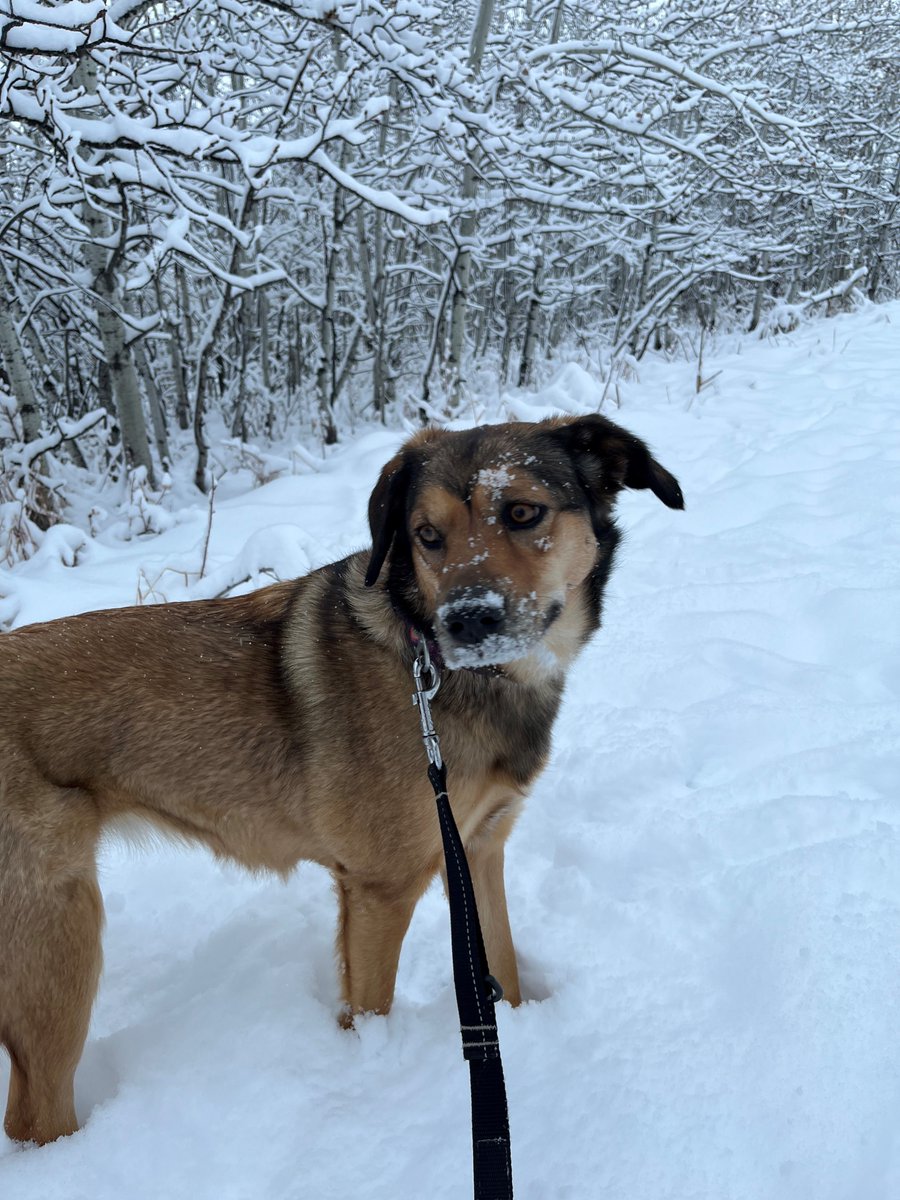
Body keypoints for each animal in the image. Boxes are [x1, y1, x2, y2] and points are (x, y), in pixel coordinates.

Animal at [0, 412, 681, 1142]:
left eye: (523, 512)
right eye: (427, 535)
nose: (467, 620)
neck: (435, 662)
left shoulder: (478, 847)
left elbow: (501, 963)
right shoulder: (382, 889)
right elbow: (372, 1006)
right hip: (59, 945)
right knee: (35, 1116)